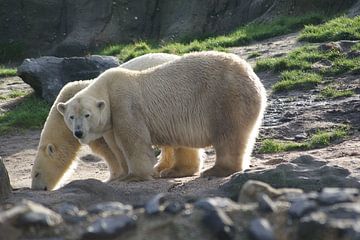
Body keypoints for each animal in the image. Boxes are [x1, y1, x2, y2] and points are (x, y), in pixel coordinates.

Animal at [57, 51, 268, 181]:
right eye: (71, 117)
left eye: (87, 115)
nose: (78, 133)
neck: (107, 88)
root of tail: (253, 76)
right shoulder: (112, 120)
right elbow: (117, 146)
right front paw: (124, 174)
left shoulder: (125, 105)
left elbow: (134, 142)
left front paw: (135, 176)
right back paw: (173, 171)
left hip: (226, 98)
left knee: (228, 136)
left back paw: (216, 170)